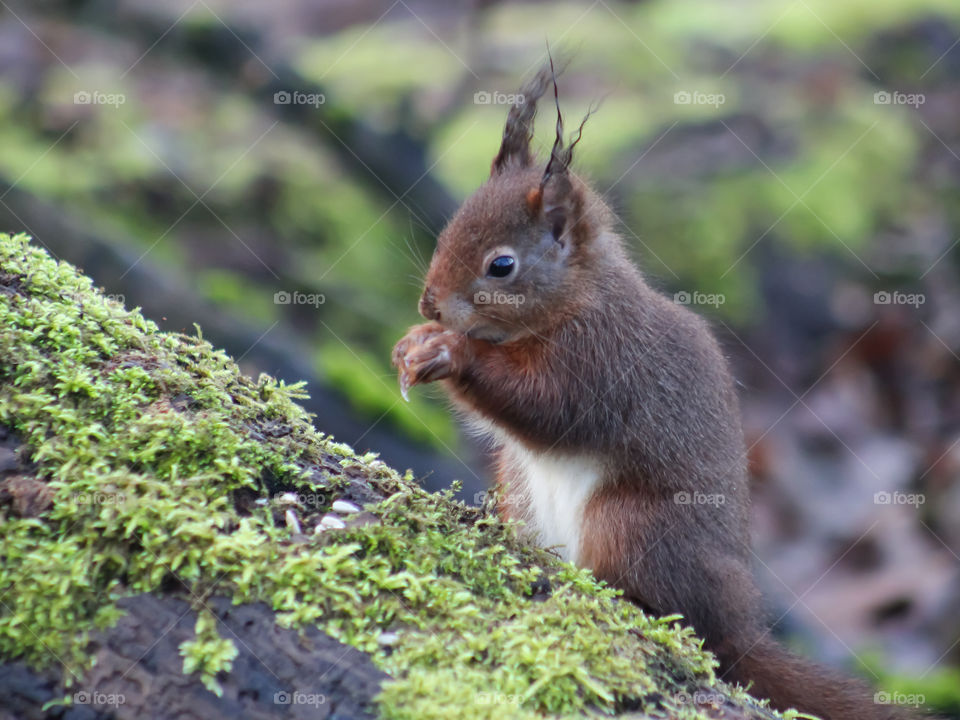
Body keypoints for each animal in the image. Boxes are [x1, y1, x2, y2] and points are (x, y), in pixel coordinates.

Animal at [392, 63, 916, 720]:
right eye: (446, 234)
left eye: (501, 266)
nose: (428, 305)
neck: (576, 301)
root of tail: (740, 623)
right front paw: (413, 343)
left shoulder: (599, 361)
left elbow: (546, 407)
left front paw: (449, 351)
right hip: (520, 493)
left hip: (631, 522)